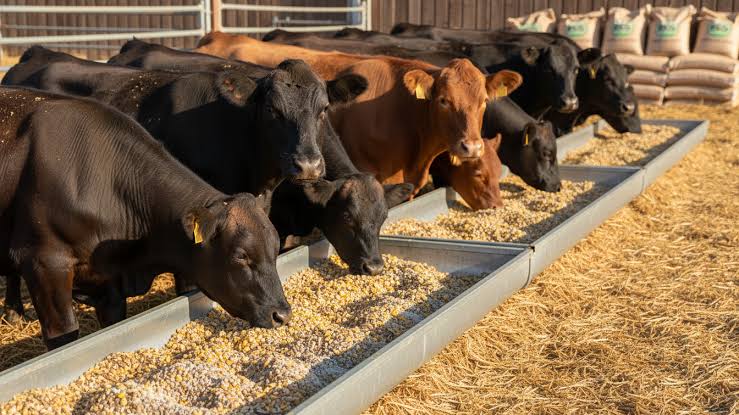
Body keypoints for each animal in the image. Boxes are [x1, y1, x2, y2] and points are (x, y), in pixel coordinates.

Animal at [0, 87, 290, 349]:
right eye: (241, 255)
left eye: (276, 249)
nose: (282, 314)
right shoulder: (45, 264)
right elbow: (64, 337)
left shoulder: (109, 286)